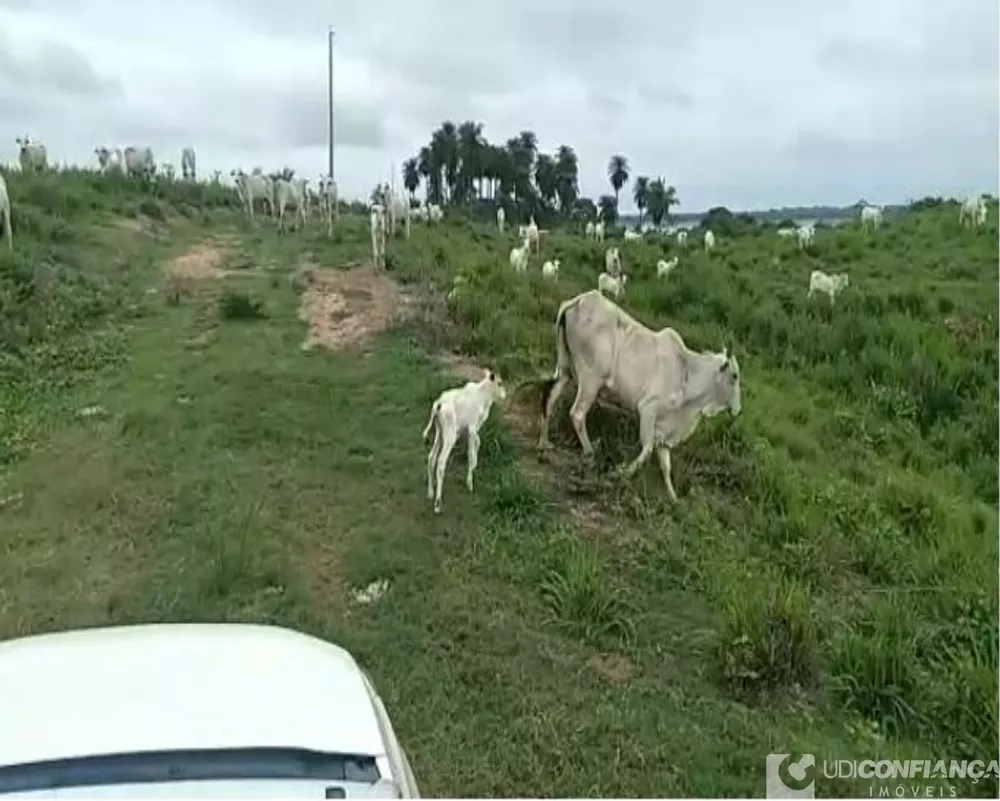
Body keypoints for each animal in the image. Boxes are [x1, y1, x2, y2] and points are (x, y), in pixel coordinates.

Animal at [422, 368, 508, 512]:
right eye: (500, 383)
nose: (504, 396)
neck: (483, 397)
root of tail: (438, 404)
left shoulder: (466, 430)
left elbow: (478, 442)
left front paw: (475, 465)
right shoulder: (472, 428)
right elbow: (470, 452)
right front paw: (470, 484)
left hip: (440, 432)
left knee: (431, 457)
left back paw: (430, 493)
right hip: (449, 434)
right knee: (441, 462)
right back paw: (438, 503)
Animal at [540, 288, 744, 500]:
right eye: (734, 376)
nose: (737, 410)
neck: (687, 372)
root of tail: (577, 301)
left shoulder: (663, 428)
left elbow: (665, 464)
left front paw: (673, 498)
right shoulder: (648, 409)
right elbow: (647, 449)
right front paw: (620, 473)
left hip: (565, 368)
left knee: (550, 398)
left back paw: (544, 444)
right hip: (591, 380)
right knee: (577, 414)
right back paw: (590, 454)